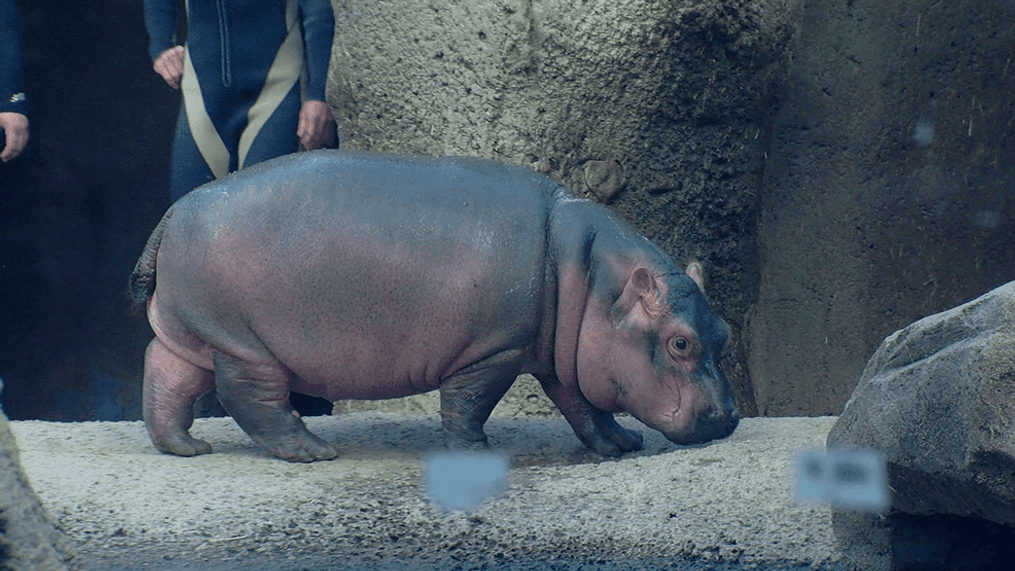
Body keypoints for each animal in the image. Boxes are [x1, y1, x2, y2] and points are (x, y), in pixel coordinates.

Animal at [132, 150, 738, 462]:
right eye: (679, 342)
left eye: (724, 331)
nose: (730, 416)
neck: (592, 279)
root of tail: (174, 209)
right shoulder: (494, 349)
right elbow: (470, 403)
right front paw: (477, 454)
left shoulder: (564, 357)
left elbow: (586, 407)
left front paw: (622, 444)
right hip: (244, 341)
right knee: (251, 398)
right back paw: (314, 450)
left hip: (197, 332)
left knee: (166, 374)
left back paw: (186, 447)